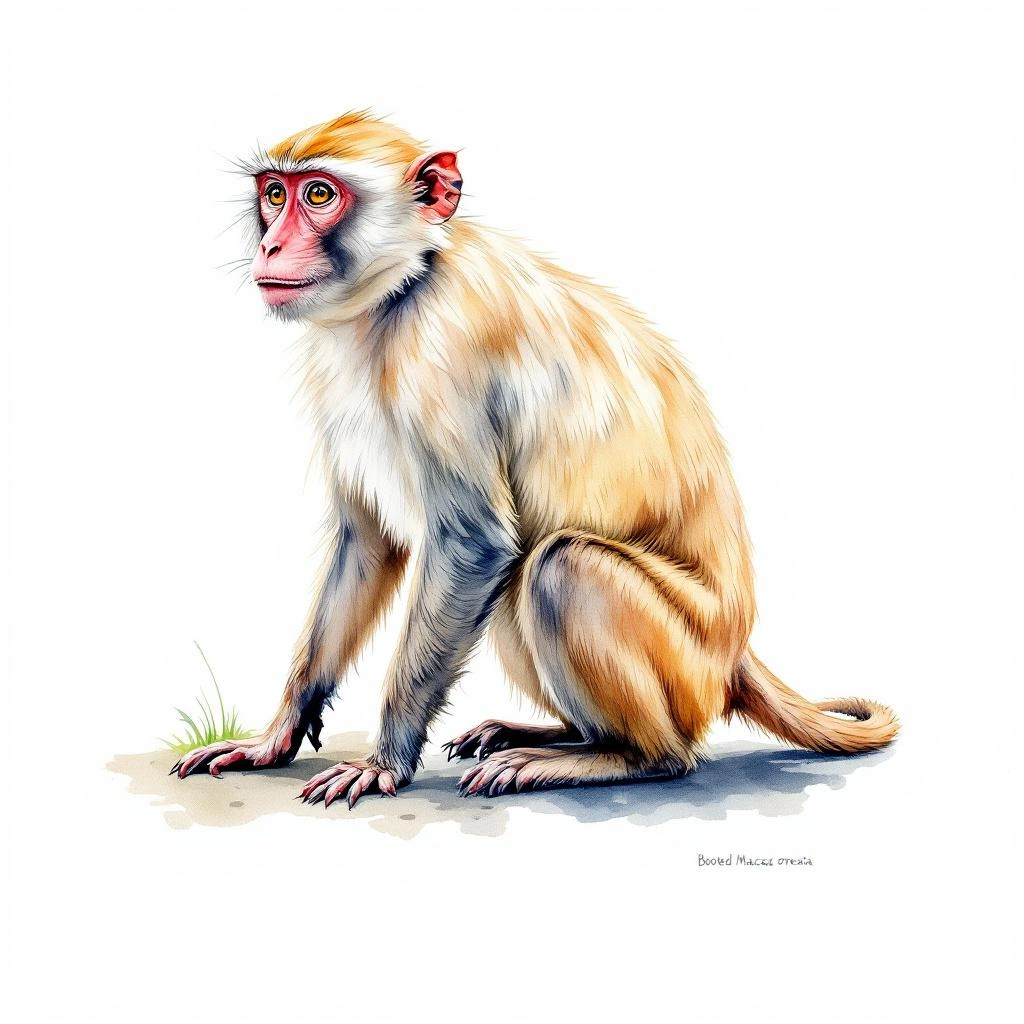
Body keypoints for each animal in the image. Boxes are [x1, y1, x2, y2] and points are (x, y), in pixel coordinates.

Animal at [172, 110, 898, 807]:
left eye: (319, 194)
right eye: (274, 194)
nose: (269, 244)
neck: (405, 285)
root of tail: (735, 653)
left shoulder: (443, 353)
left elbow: (475, 545)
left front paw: (385, 762)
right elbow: (370, 541)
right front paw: (278, 735)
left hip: (687, 666)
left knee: (558, 565)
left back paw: (632, 756)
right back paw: (561, 734)